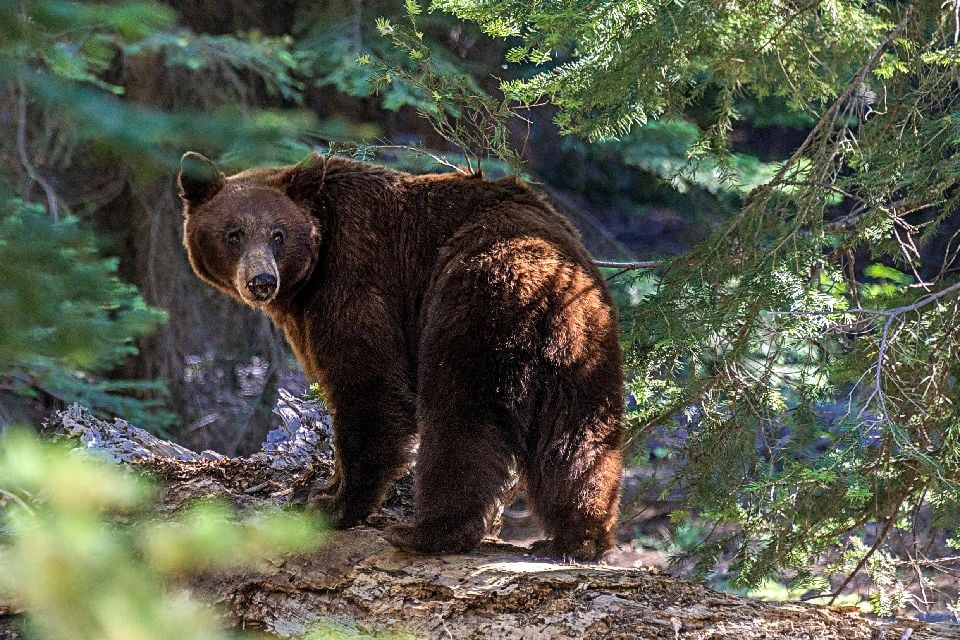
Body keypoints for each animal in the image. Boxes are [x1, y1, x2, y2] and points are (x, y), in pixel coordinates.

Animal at [176, 151, 628, 560]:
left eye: (277, 234)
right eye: (234, 233)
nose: (262, 281)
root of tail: (549, 284)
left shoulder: (356, 278)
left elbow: (368, 386)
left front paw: (335, 505)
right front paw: (318, 489)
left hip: (472, 308)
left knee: (460, 420)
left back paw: (428, 532)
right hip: (585, 347)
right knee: (579, 437)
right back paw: (576, 540)